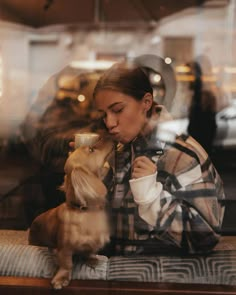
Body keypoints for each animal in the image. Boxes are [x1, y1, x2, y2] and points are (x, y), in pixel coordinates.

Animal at [28, 138, 113, 290]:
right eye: (91, 149)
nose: (110, 136)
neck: (86, 211)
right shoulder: (64, 248)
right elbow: (67, 264)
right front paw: (61, 278)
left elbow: (90, 251)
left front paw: (91, 259)